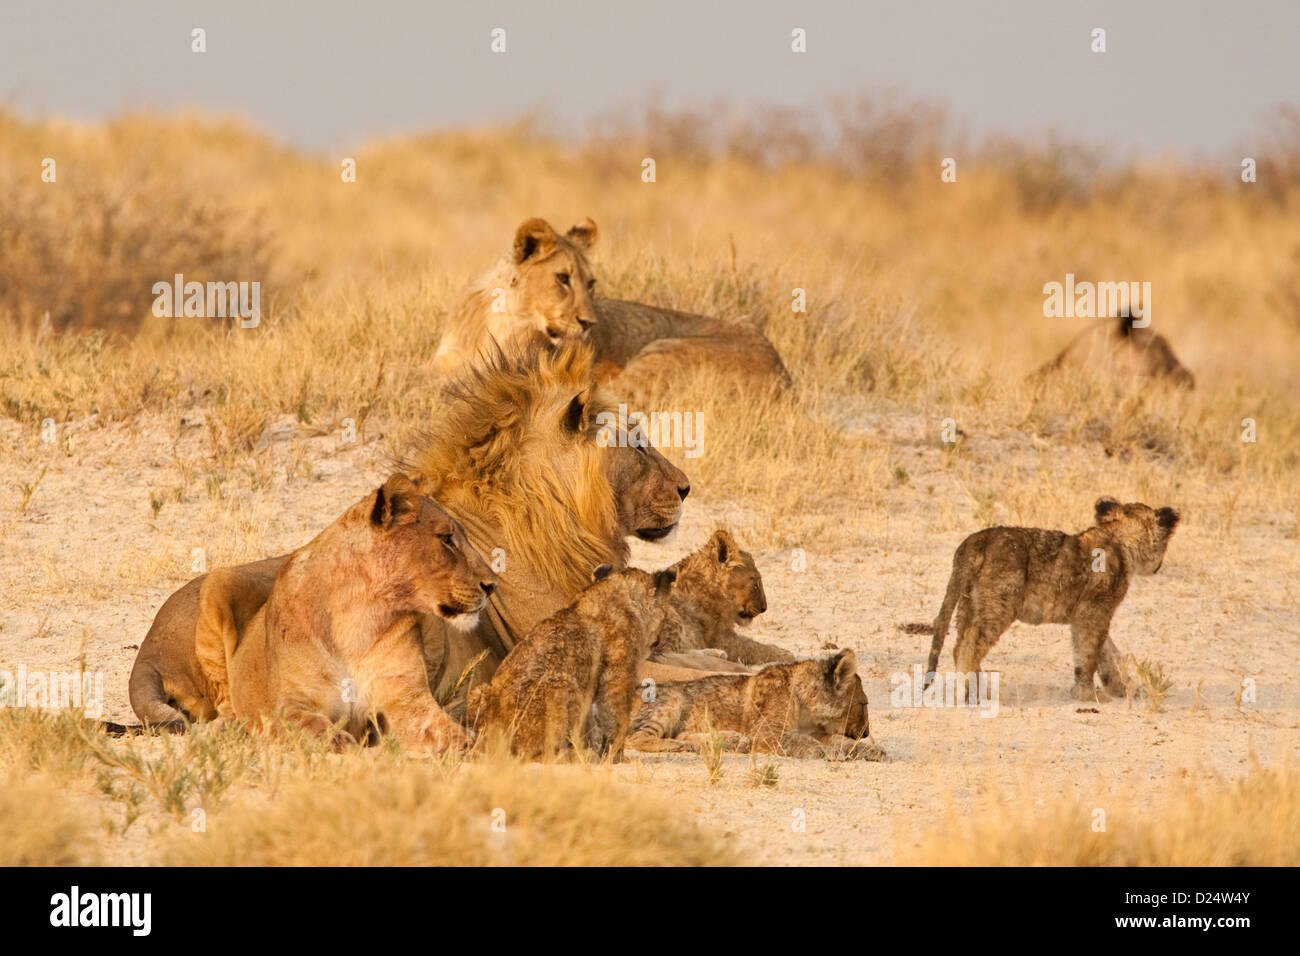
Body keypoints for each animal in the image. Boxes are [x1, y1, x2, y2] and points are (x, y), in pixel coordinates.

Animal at [195, 476, 493, 749]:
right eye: (446, 539)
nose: (492, 585)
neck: (360, 614)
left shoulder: (405, 697)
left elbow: (441, 728)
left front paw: (471, 744)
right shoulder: (288, 705)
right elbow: (312, 727)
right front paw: (340, 742)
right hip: (219, 581)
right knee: (226, 701)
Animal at [465, 564, 676, 759]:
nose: (660, 642)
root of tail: (485, 739)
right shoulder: (618, 677)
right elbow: (617, 721)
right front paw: (616, 758)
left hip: (478, 691)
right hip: (564, 685)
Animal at [925, 502, 1180, 702]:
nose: (1158, 567)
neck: (1118, 537)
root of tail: (977, 539)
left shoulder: (1090, 614)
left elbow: (1108, 653)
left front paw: (1120, 688)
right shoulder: (1093, 612)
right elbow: (1089, 653)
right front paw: (1088, 695)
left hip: (968, 603)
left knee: (959, 643)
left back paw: (980, 689)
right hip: (999, 606)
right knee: (968, 645)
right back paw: (970, 692)